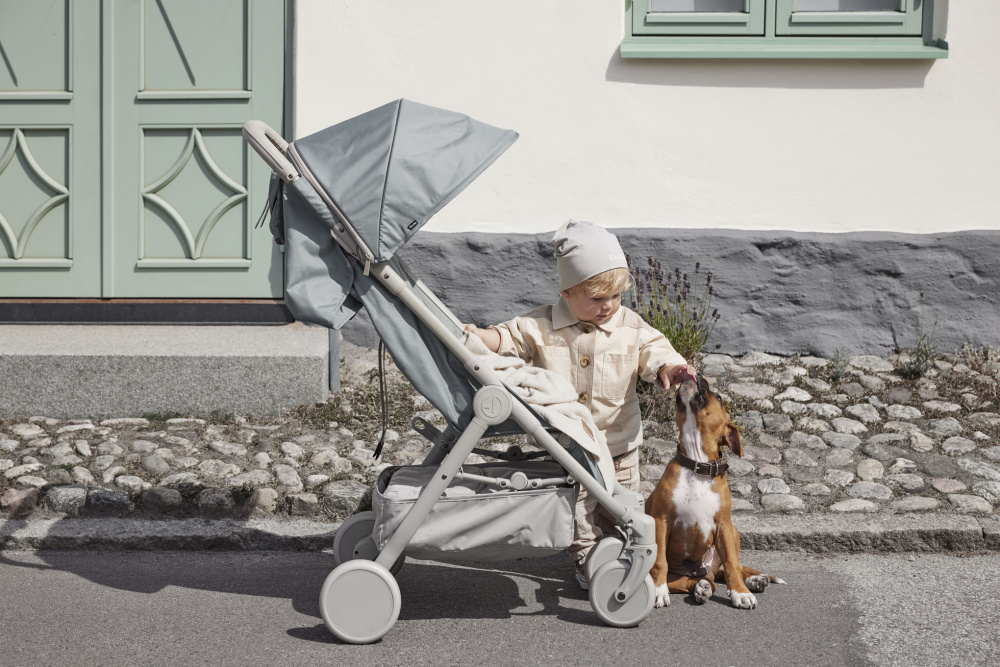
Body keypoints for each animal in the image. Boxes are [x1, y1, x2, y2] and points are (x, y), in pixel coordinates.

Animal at [644, 370, 784, 612]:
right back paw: (702, 588)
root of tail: (702, 570)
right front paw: (658, 591)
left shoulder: (724, 526)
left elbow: (731, 564)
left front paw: (740, 593)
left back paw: (753, 581)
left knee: (729, 570)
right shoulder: (661, 520)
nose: (697, 373)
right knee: (695, 581)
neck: (697, 464)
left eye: (718, 397)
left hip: (733, 533)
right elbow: (660, 560)